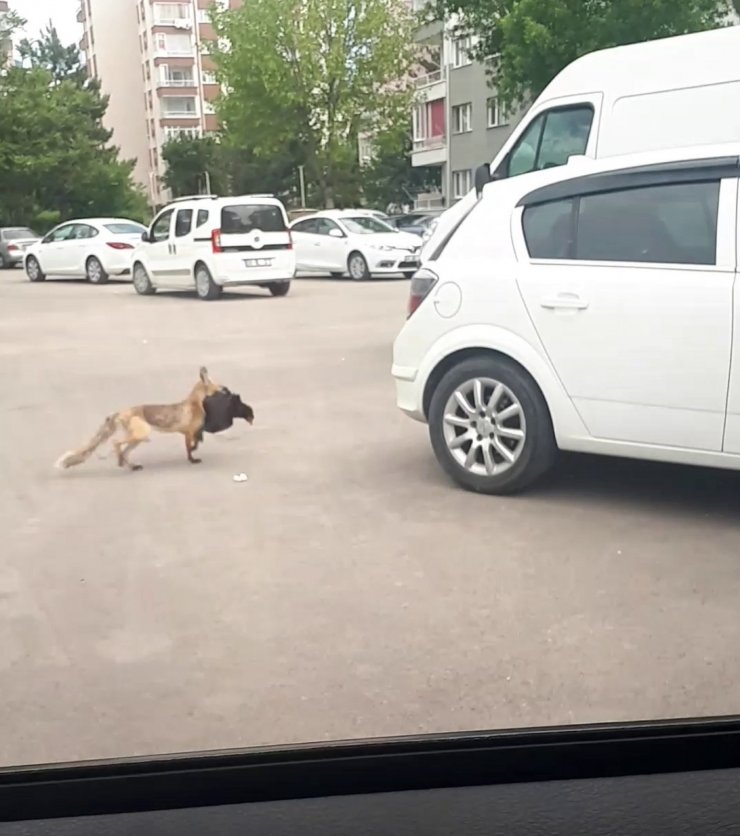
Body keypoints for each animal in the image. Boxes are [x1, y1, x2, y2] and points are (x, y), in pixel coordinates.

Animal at [56, 366, 224, 470]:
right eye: (216, 384)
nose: (224, 388)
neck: (195, 402)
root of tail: (120, 411)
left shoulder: (188, 433)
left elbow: (192, 446)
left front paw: (192, 457)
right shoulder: (189, 432)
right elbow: (191, 447)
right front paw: (193, 459)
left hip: (137, 438)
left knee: (124, 451)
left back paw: (129, 465)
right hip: (142, 434)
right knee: (116, 443)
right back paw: (121, 462)